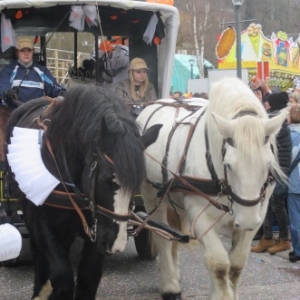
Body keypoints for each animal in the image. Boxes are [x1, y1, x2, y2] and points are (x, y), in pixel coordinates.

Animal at [5, 85, 162, 300]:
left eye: (136, 184)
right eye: (104, 180)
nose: (116, 243)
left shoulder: (97, 231)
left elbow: (89, 277)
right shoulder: (44, 225)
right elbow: (62, 278)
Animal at [137, 78, 288, 300]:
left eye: (268, 164)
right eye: (229, 164)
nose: (246, 221)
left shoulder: (258, 215)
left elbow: (236, 264)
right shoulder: (200, 215)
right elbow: (219, 264)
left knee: (173, 237)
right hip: (151, 197)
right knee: (162, 237)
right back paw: (170, 285)